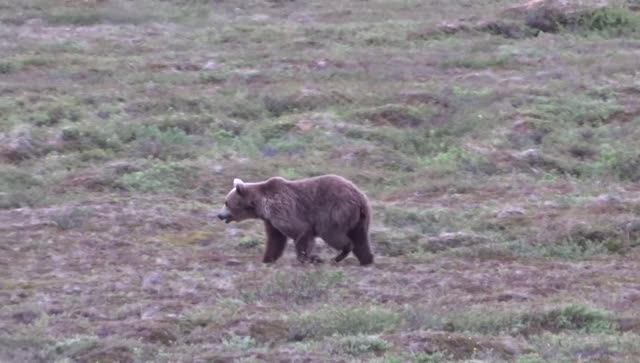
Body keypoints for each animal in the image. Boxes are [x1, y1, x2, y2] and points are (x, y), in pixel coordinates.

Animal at [216, 175, 376, 266]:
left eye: (226, 202)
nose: (219, 215)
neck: (261, 206)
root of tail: (359, 197)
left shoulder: (282, 210)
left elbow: (300, 231)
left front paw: (309, 258)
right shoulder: (271, 220)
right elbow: (275, 239)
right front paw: (267, 258)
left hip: (335, 211)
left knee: (331, 233)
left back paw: (340, 255)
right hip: (360, 218)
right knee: (361, 239)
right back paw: (366, 259)